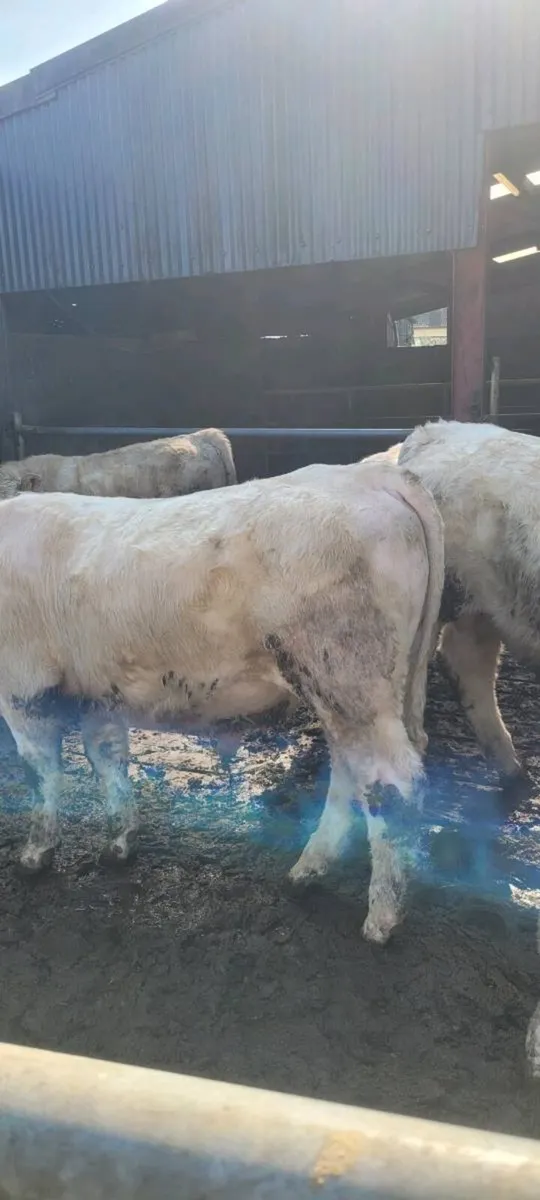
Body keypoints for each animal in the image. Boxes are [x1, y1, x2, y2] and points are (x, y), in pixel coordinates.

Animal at [0, 460, 443, 946]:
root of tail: (365, 476)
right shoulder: (99, 692)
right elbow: (108, 760)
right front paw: (121, 841)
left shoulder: (22, 686)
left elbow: (40, 772)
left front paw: (35, 854)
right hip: (355, 690)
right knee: (352, 772)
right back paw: (309, 869)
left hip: (348, 679)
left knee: (392, 783)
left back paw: (382, 917)